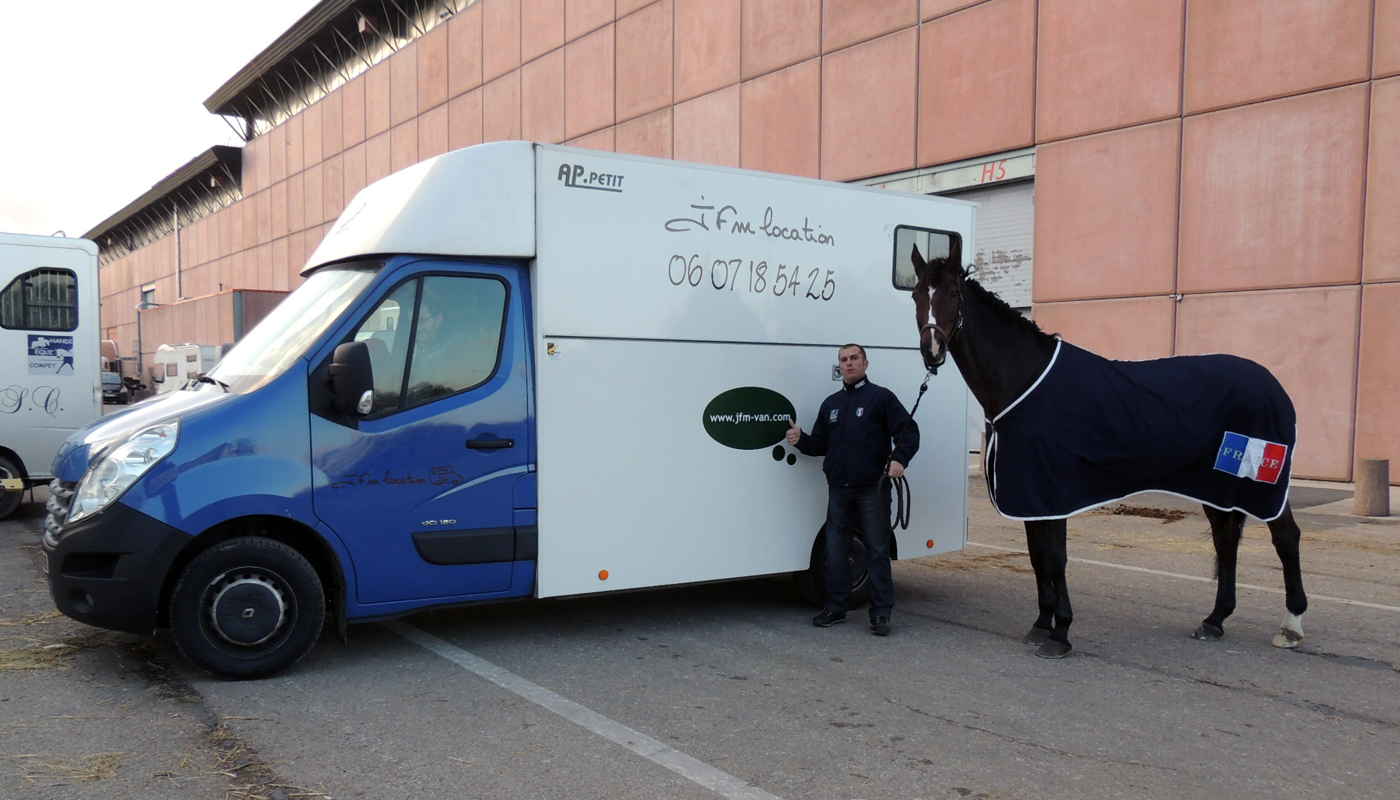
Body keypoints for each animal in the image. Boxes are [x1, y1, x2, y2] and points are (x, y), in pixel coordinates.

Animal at [912, 243, 1304, 658]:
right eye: (917, 295)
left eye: (953, 293)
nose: (931, 350)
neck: (1026, 382)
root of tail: (1272, 385)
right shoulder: (1031, 496)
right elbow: (1038, 558)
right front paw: (1041, 624)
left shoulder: (1050, 492)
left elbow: (1055, 559)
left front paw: (1061, 633)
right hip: (1215, 485)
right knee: (1226, 541)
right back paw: (1214, 620)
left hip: (1260, 483)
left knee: (1286, 538)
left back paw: (1291, 626)